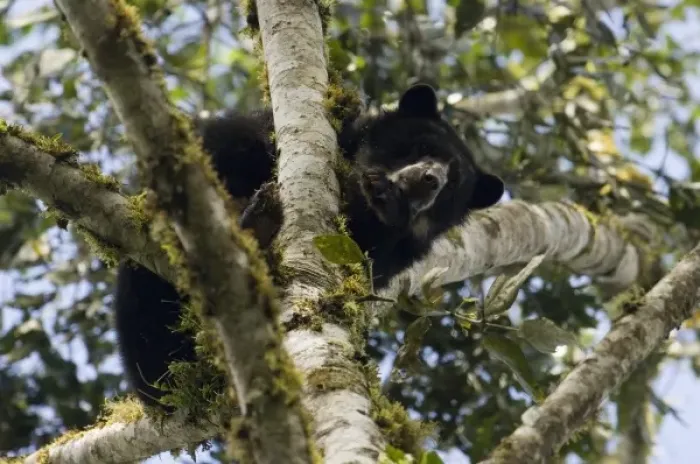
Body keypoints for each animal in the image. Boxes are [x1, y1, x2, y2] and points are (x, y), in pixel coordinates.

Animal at [113, 84, 504, 409]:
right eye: (422, 147)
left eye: (452, 186)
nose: (429, 180)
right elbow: (227, 143)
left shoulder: (392, 253)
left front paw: (388, 201)